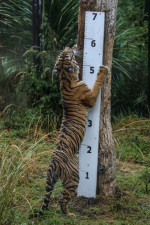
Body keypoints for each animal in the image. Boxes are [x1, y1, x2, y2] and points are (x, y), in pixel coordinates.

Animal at [30, 46, 108, 217]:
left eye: (63, 53)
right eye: (68, 55)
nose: (69, 47)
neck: (64, 77)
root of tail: (53, 163)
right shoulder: (91, 97)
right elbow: (97, 84)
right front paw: (102, 70)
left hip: (54, 179)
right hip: (73, 178)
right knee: (62, 199)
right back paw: (70, 214)